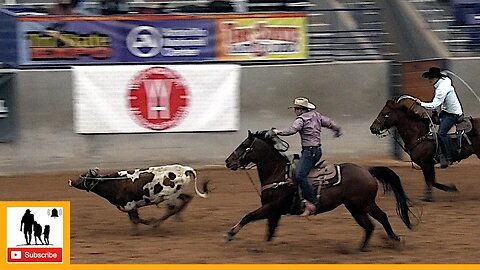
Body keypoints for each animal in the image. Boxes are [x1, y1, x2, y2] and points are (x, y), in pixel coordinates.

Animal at [225, 131, 412, 251]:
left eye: (244, 145)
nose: (228, 161)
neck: (277, 173)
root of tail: (367, 171)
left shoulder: (272, 207)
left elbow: (248, 216)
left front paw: (230, 234)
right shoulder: (274, 212)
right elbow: (270, 231)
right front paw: (265, 245)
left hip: (358, 207)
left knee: (370, 225)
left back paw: (362, 248)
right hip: (365, 204)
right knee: (381, 218)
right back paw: (394, 239)